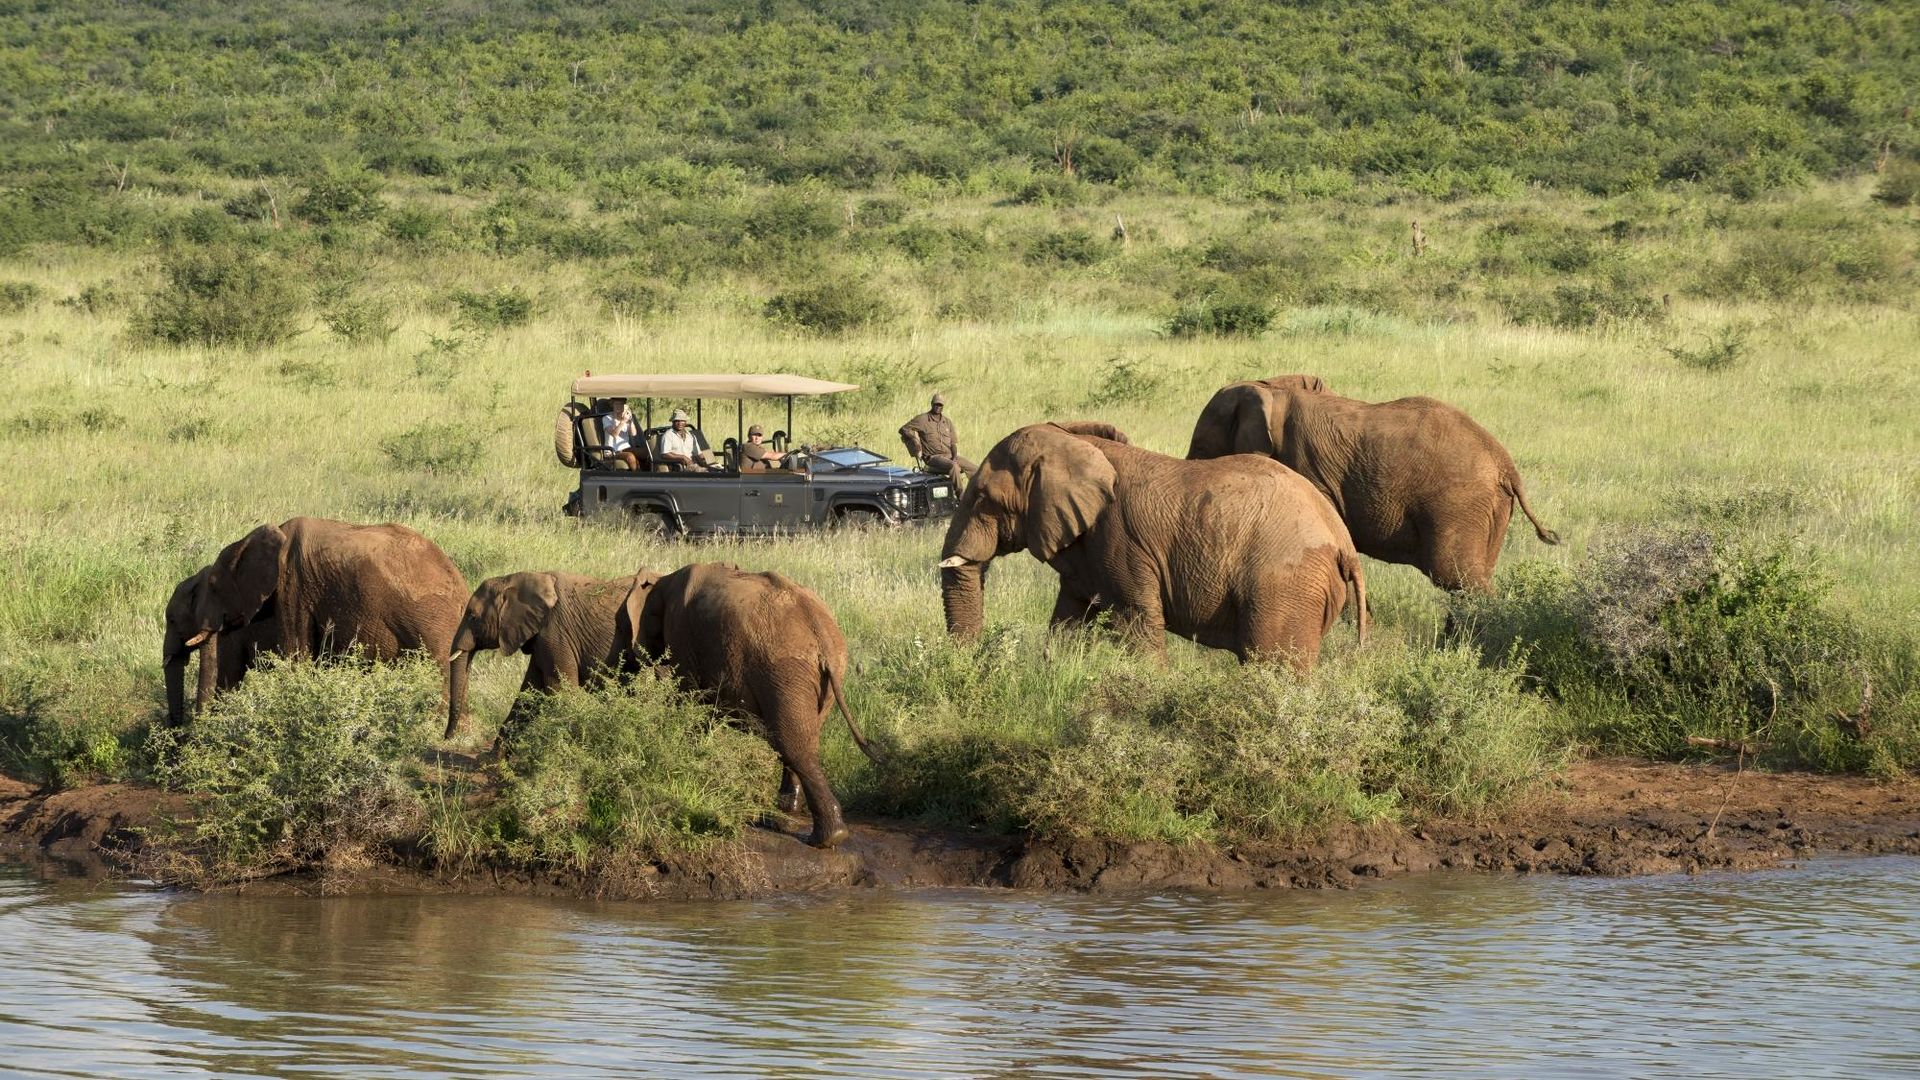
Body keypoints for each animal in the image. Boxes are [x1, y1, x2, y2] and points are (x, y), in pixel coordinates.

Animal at [162, 511, 468, 722]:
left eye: (174, 621)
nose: (179, 729)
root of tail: (461, 585)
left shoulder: (292, 588)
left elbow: (294, 657)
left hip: (431, 620)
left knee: (438, 667)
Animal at [445, 568, 664, 734]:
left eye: (472, 616)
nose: (448, 736)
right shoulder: (541, 638)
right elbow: (529, 692)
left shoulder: (555, 632)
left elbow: (561, 691)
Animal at [645, 557, 883, 845]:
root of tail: (821, 632)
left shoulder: (682, 635)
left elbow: (691, 704)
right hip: (828, 670)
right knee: (802, 739)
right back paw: (789, 815)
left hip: (784, 669)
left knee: (793, 744)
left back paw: (823, 837)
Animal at [940, 418, 1367, 664]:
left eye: (983, 498)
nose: (972, 665)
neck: (1075, 445)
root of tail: (1343, 543)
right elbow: (1069, 620)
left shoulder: (1121, 543)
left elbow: (1137, 625)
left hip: (1285, 585)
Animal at [1182, 368, 1559, 588]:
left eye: (1200, 447)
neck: (1273, 390)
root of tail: (1506, 465)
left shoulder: (1307, 467)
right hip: (1491, 511)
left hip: (1460, 504)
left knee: (1458, 577)